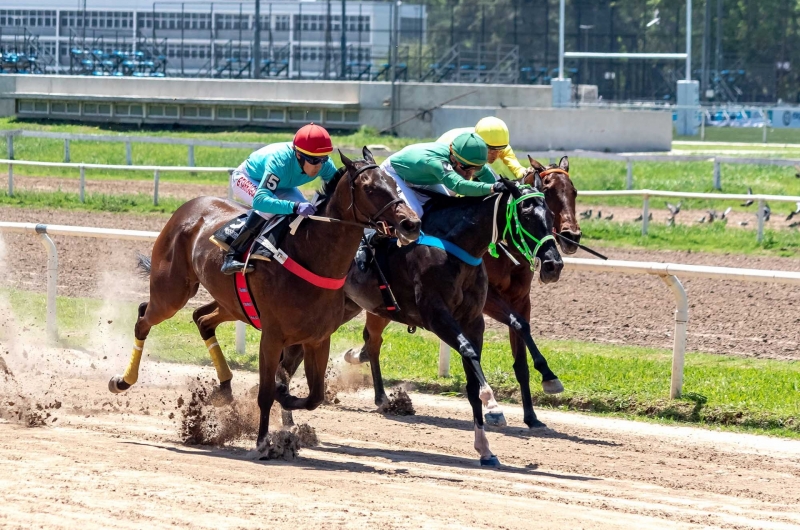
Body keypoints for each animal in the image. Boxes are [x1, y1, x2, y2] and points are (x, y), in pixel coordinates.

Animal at [109, 148, 422, 454]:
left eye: (393, 183)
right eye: (370, 188)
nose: (412, 223)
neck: (311, 256)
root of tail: (188, 207)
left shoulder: (317, 338)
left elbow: (314, 396)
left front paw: (285, 399)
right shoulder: (272, 337)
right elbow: (266, 393)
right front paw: (263, 441)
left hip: (232, 304)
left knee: (202, 319)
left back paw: (224, 388)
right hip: (171, 293)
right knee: (143, 318)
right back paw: (122, 381)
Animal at [282, 177, 564, 462]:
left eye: (551, 215)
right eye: (526, 215)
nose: (554, 264)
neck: (459, 247)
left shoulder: (474, 319)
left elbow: (489, 357)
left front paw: (485, 448)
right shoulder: (436, 316)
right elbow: (469, 351)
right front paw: (494, 406)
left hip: (345, 308)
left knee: (356, 345)